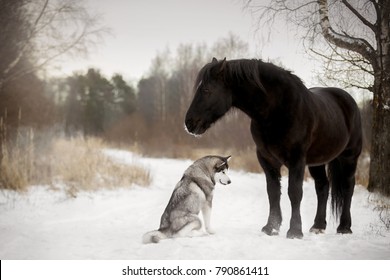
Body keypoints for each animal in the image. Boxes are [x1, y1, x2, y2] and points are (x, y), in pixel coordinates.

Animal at [186, 57, 362, 238]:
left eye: (207, 89)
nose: (189, 123)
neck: (277, 110)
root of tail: (348, 100)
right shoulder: (267, 159)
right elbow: (273, 192)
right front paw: (271, 227)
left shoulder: (297, 159)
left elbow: (294, 192)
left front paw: (295, 231)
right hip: (317, 162)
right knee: (322, 187)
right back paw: (318, 226)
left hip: (350, 157)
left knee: (348, 187)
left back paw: (344, 227)